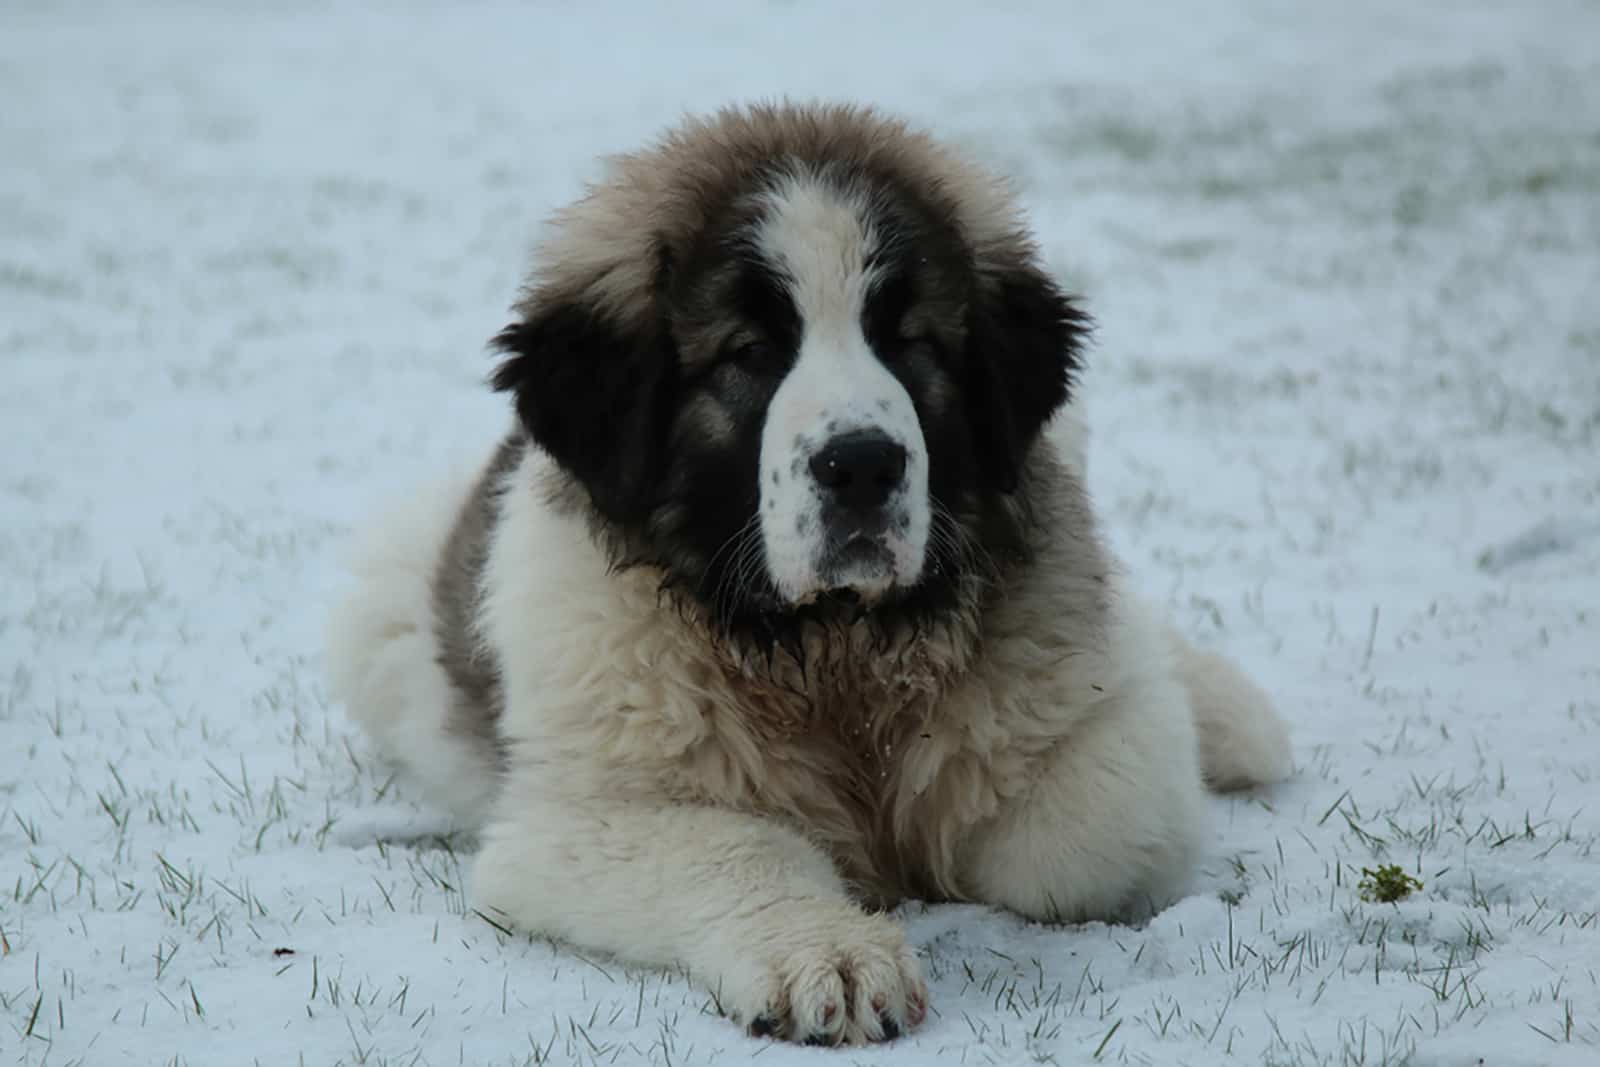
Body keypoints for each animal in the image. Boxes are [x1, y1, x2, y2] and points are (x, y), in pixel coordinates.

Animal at [324, 102, 1286, 1049]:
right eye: (750, 352)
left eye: (910, 341)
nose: (862, 466)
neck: (831, 652)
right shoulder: (575, 818)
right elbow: (738, 847)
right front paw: (829, 952)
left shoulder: (1097, 752)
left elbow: (1080, 843)